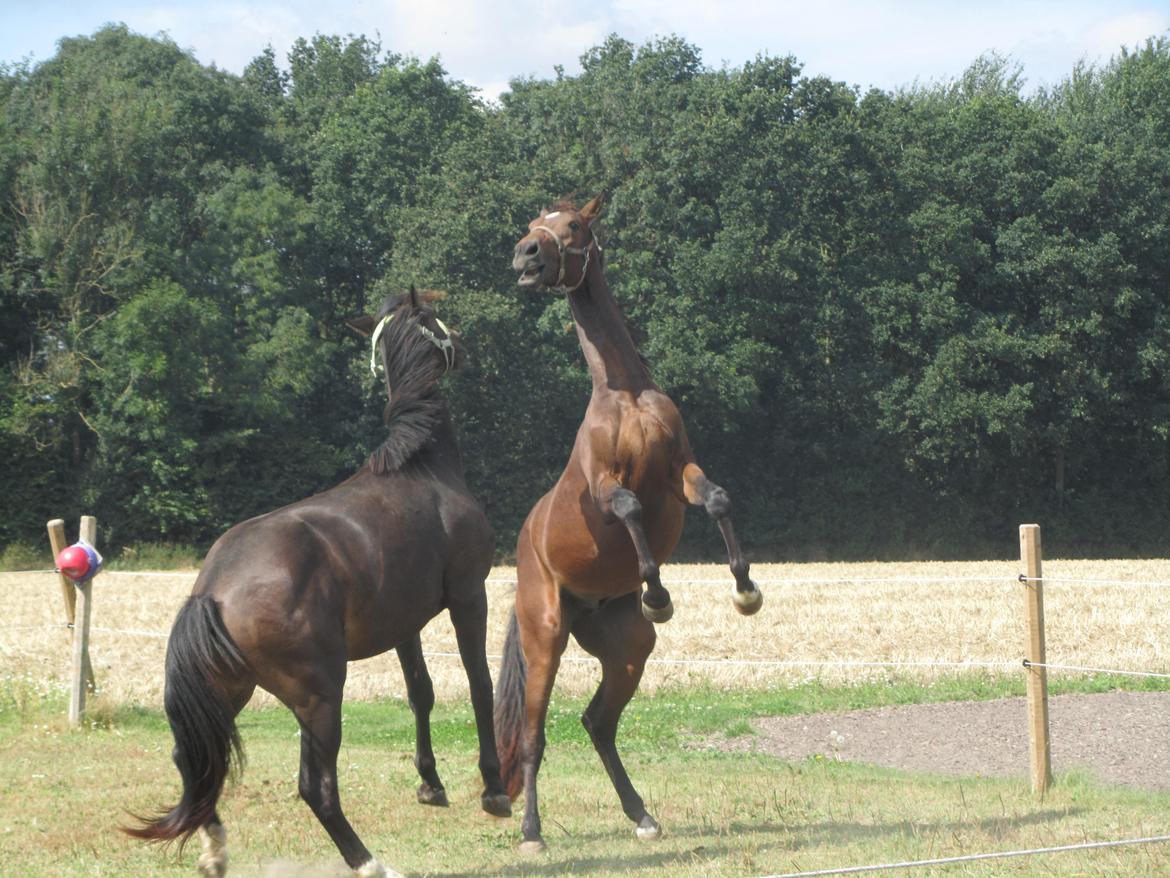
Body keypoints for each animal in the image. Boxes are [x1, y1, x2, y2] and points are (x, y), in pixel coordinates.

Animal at [125, 289, 510, 878]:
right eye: (435, 320)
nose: (462, 345)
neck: (422, 471)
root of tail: (212, 589)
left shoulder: (404, 622)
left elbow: (420, 692)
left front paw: (430, 784)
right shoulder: (469, 595)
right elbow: (477, 684)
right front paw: (494, 791)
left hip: (229, 691)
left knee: (193, 760)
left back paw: (215, 850)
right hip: (320, 697)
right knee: (316, 787)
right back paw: (370, 863)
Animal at [491, 197, 758, 852]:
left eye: (571, 226)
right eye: (535, 224)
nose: (525, 257)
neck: (626, 394)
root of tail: (524, 553)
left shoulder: (680, 469)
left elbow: (718, 500)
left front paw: (745, 590)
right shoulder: (608, 486)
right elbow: (633, 511)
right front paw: (657, 593)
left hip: (628, 648)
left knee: (597, 722)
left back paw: (642, 816)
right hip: (546, 637)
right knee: (533, 736)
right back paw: (532, 832)